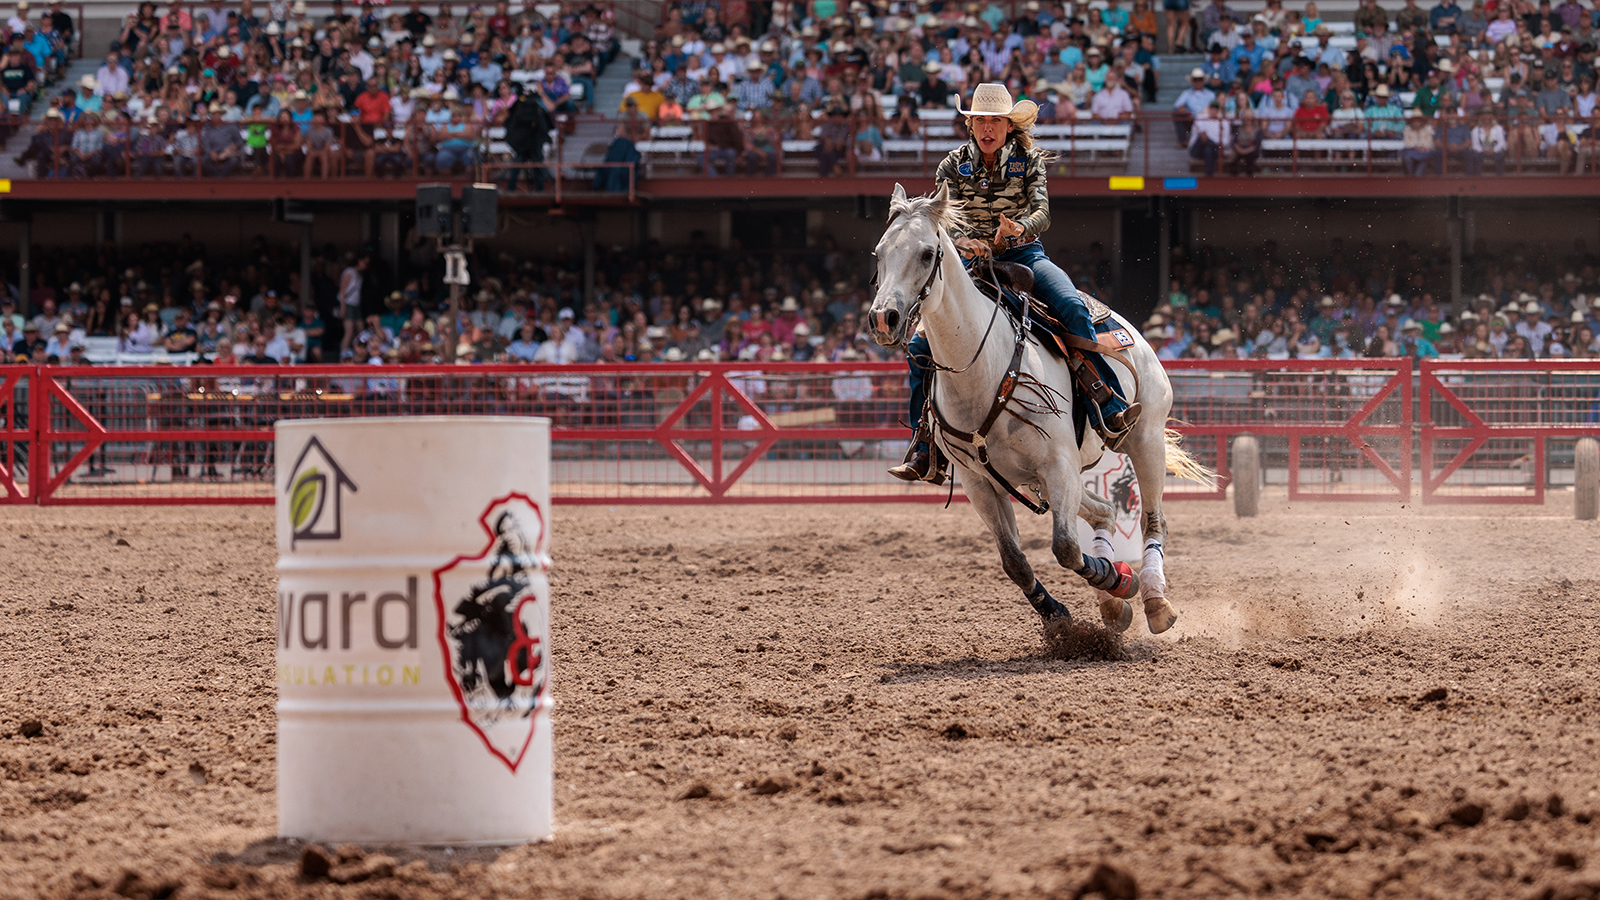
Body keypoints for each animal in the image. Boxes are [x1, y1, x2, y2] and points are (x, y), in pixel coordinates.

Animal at [876, 184, 1209, 630]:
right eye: (879, 253)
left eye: (928, 253)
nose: (884, 318)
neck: (982, 368)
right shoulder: (980, 482)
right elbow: (1014, 561)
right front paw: (1062, 612)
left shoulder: (1058, 465)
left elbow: (1065, 547)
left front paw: (1118, 581)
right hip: (1043, 480)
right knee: (1105, 512)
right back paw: (1114, 602)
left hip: (1145, 440)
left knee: (1152, 519)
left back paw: (1154, 600)